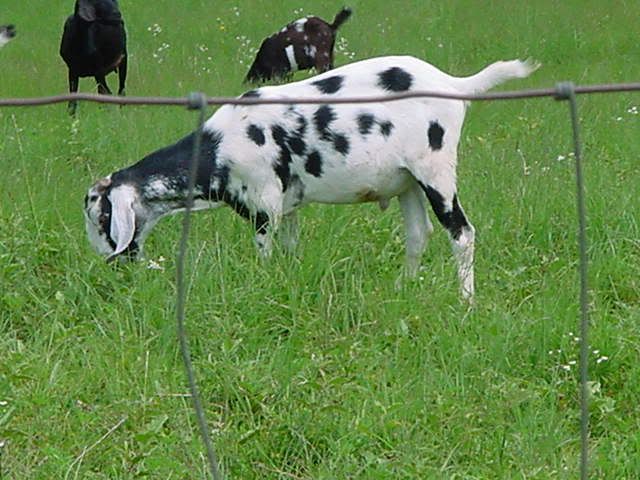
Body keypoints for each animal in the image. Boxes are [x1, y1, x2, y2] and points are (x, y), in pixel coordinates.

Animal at [84, 55, 539, 299]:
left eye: (103, 217)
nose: (112, 264)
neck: (216, 148)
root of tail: (454, 84)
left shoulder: (264, 206)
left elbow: (265, 255)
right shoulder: (287, 206)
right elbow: (290, 251)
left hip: (435, 170)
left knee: (462, 233)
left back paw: (467, 301)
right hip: (407, 180)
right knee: (417, 235)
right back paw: (404, 289)